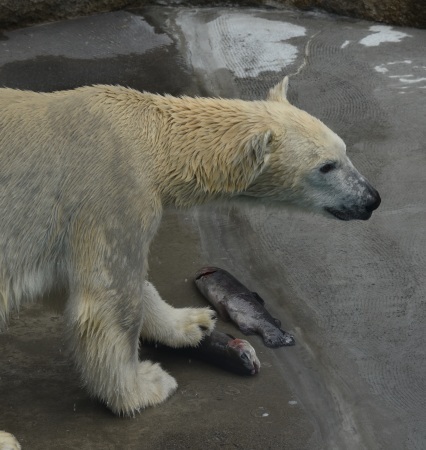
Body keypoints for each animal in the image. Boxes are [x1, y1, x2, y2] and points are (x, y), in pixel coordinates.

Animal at [0, 77, 380, 418]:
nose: (372, 199)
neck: (150, 140)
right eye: (326, 166)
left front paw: (193, 323)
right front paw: (144, 387)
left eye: (345, 151)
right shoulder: (110, 194)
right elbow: (110, 301)